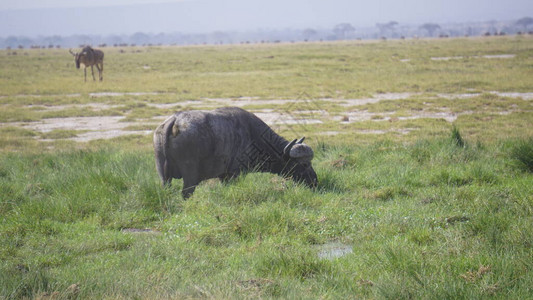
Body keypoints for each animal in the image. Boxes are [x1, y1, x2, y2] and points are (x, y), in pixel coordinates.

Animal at [152, 106, 318, 198]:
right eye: (304, 164)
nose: (314, 181)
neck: (252, 134)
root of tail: (174, 121)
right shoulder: (235, 174)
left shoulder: (223, 176)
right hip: (190, 177)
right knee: (186, 193)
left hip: (163, 176)